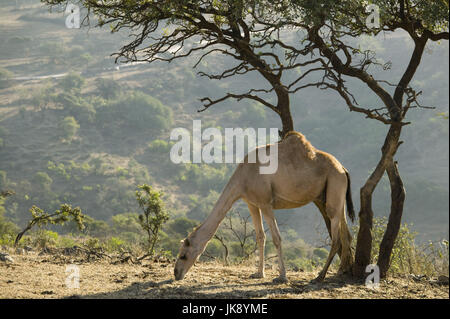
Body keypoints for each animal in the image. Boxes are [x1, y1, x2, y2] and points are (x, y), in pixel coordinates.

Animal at [174, 132, 354, 282]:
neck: (243, 178)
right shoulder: (252, 204)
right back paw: (341, 272)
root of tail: (343, 169)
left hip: (334, 186)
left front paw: (282, 277)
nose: (176, 273)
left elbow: (276, 237)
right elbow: (260, 237)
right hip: (335, 196)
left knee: (336, 237)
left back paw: (320, 276)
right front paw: (258, 273)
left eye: (183, 255)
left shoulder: (266, 203)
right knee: (346, 234)